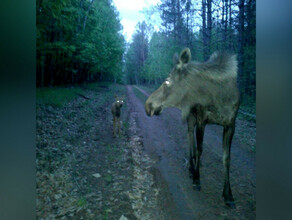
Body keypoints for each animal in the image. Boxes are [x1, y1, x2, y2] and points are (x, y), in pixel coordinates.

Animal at [145, 48, 240, 208]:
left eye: (167, 81)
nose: (148, 105)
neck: (219, 99)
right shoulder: (202, 119)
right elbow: (199, 150)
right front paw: (196, 179)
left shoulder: (230, 124)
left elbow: (227, 158)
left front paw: (228, 195)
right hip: (191, 118)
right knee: (190, 138)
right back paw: (191, 167)